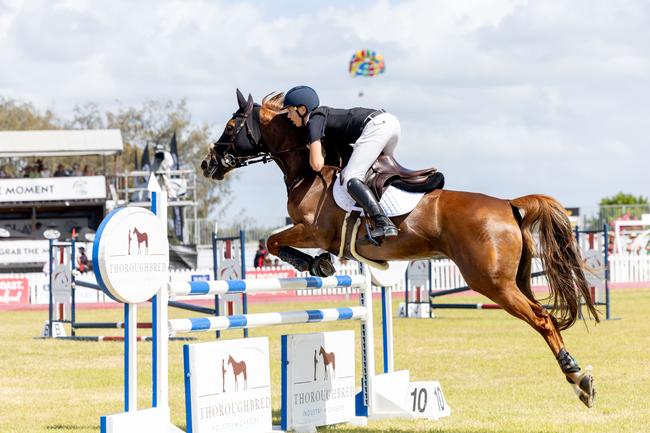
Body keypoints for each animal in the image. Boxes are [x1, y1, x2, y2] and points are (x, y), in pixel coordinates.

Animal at [201, 89, 596, 406]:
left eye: (232, 124)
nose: (208, 164)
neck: (309, 173)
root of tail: (509, 204)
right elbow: (275, 241)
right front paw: (321, 265)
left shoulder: (313, 231)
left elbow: (273, 240)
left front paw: (318, 265)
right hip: (517, 279)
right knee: (545, 315)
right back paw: (579, 379)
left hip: (492, 283)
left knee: (542, 318)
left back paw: (578, 378)